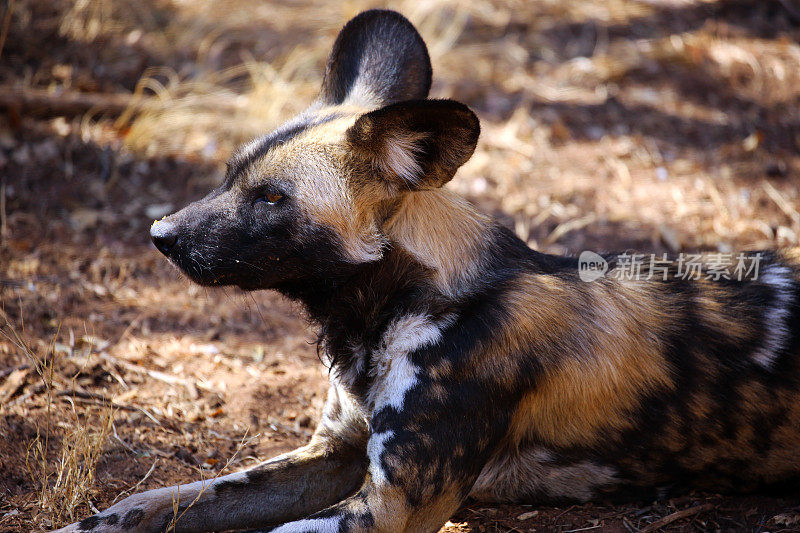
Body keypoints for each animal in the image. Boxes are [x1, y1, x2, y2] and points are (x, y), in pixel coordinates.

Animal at [56, 8, 800, 532]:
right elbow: (156, 500)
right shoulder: (332, 455)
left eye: (271, 198)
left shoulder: (392, 506)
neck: (397, 305)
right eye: (230, 175)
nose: (160, 235)